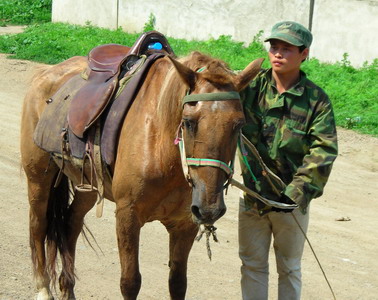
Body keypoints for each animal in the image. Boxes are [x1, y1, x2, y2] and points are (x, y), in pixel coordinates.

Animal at [20, 48, 262, 298]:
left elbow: (178, 282)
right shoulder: (128, 216)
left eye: (239, 124)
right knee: (38, 225)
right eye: (188, 122)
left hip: (87, 186)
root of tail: (47, 72)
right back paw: (43, 288)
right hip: (38, 179)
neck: (161, 143)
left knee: (71, 223)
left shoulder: (185, 224)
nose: (209, 208)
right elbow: (130, 281)